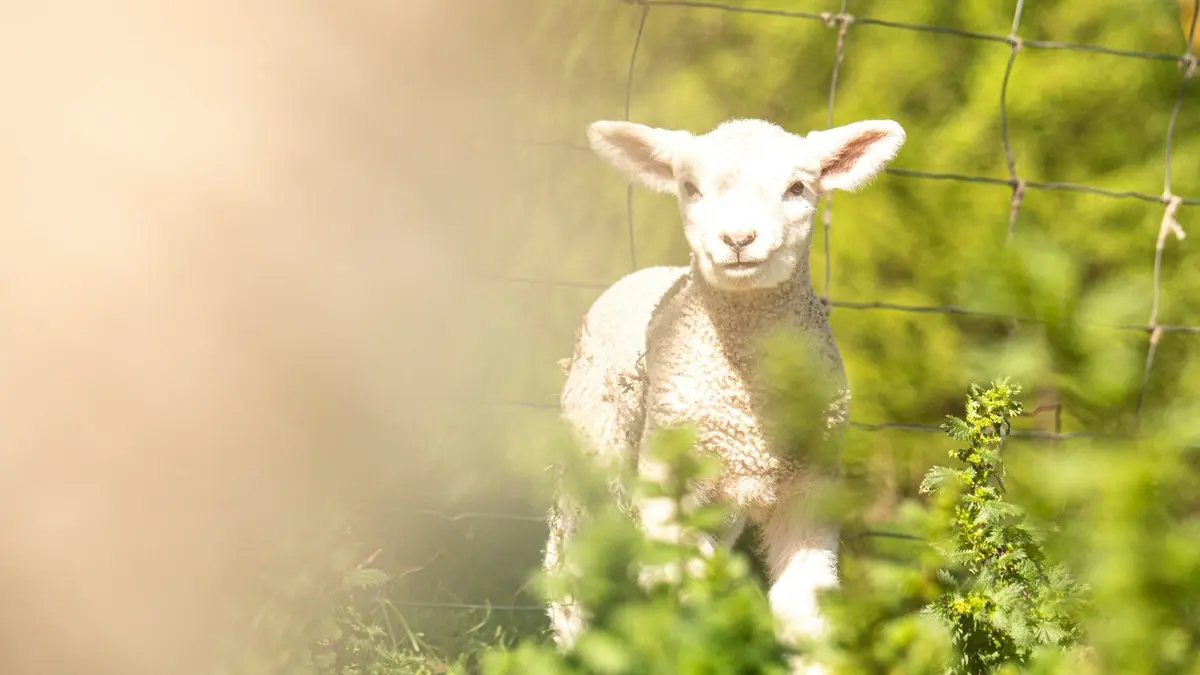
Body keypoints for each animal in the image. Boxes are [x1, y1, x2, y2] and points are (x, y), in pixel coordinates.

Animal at [543, 116, 906, 671]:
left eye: (798, 188)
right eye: (690, 188)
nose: (738, 238)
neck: (745, 396)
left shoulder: (810, 486)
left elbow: (804, 609)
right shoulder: (667, 479)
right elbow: (681, 581)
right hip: (595, 444)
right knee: (569, 557)